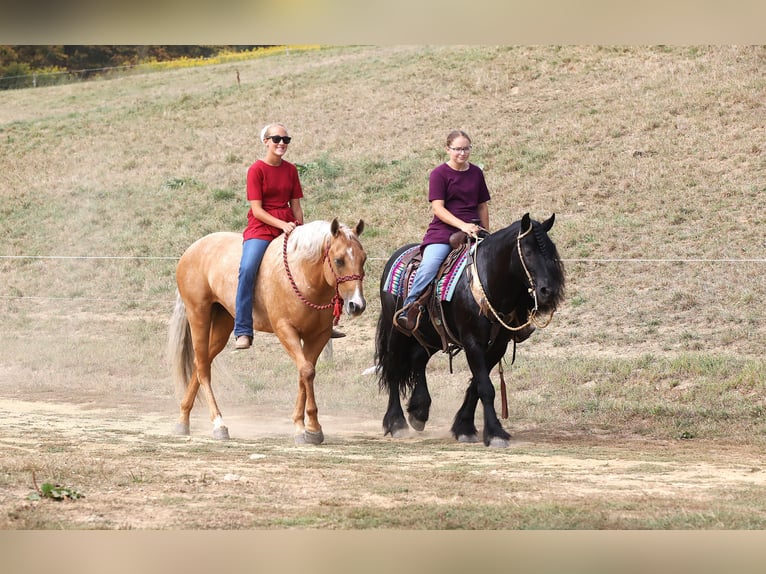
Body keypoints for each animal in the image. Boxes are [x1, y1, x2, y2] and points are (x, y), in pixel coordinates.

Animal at [170, 219, 368, 446]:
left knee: (200, 363)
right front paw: (309, 428)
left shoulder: (318, 336)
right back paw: (218, 424)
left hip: (222, 323)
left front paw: (307, 428)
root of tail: (192, 250)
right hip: (198, 315)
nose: (357, 305)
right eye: (338, 260)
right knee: (203, 367)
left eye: (363, 259)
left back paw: (183, 420)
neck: (304, 274)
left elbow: (305, 374)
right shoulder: (285, 331)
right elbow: (307, 371)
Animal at [376, 214, 568, 448]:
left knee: (418, 358)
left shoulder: (497, 346)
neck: (489, 281)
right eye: (529, 252)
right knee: (394, 368)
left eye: (551, 250)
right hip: (397, 331)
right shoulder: (472, 342)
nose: (548, 291)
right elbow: (485, 387)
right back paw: (396, 423)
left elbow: (476, 386)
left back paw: (419, 412)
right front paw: (495, 433)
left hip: (430, 334)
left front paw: (464, 427)